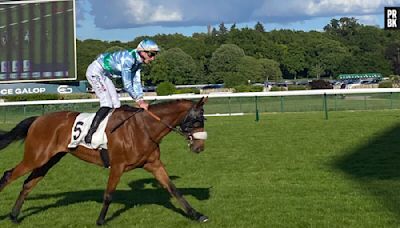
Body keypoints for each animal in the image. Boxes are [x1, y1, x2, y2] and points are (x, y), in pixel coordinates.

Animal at [0, 97, 208, 225]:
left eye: (203, 120)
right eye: (197, 121)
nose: (199, 147)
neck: (143, 128)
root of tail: (38, 119)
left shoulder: (154, 164)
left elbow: (174, 189)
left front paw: (197, 215)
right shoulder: (117, 166)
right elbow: (108, 194)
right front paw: (100, 221)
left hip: (48, 160)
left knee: (28, 184)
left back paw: (14, 216)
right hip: (35, 157)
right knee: (8, 175)